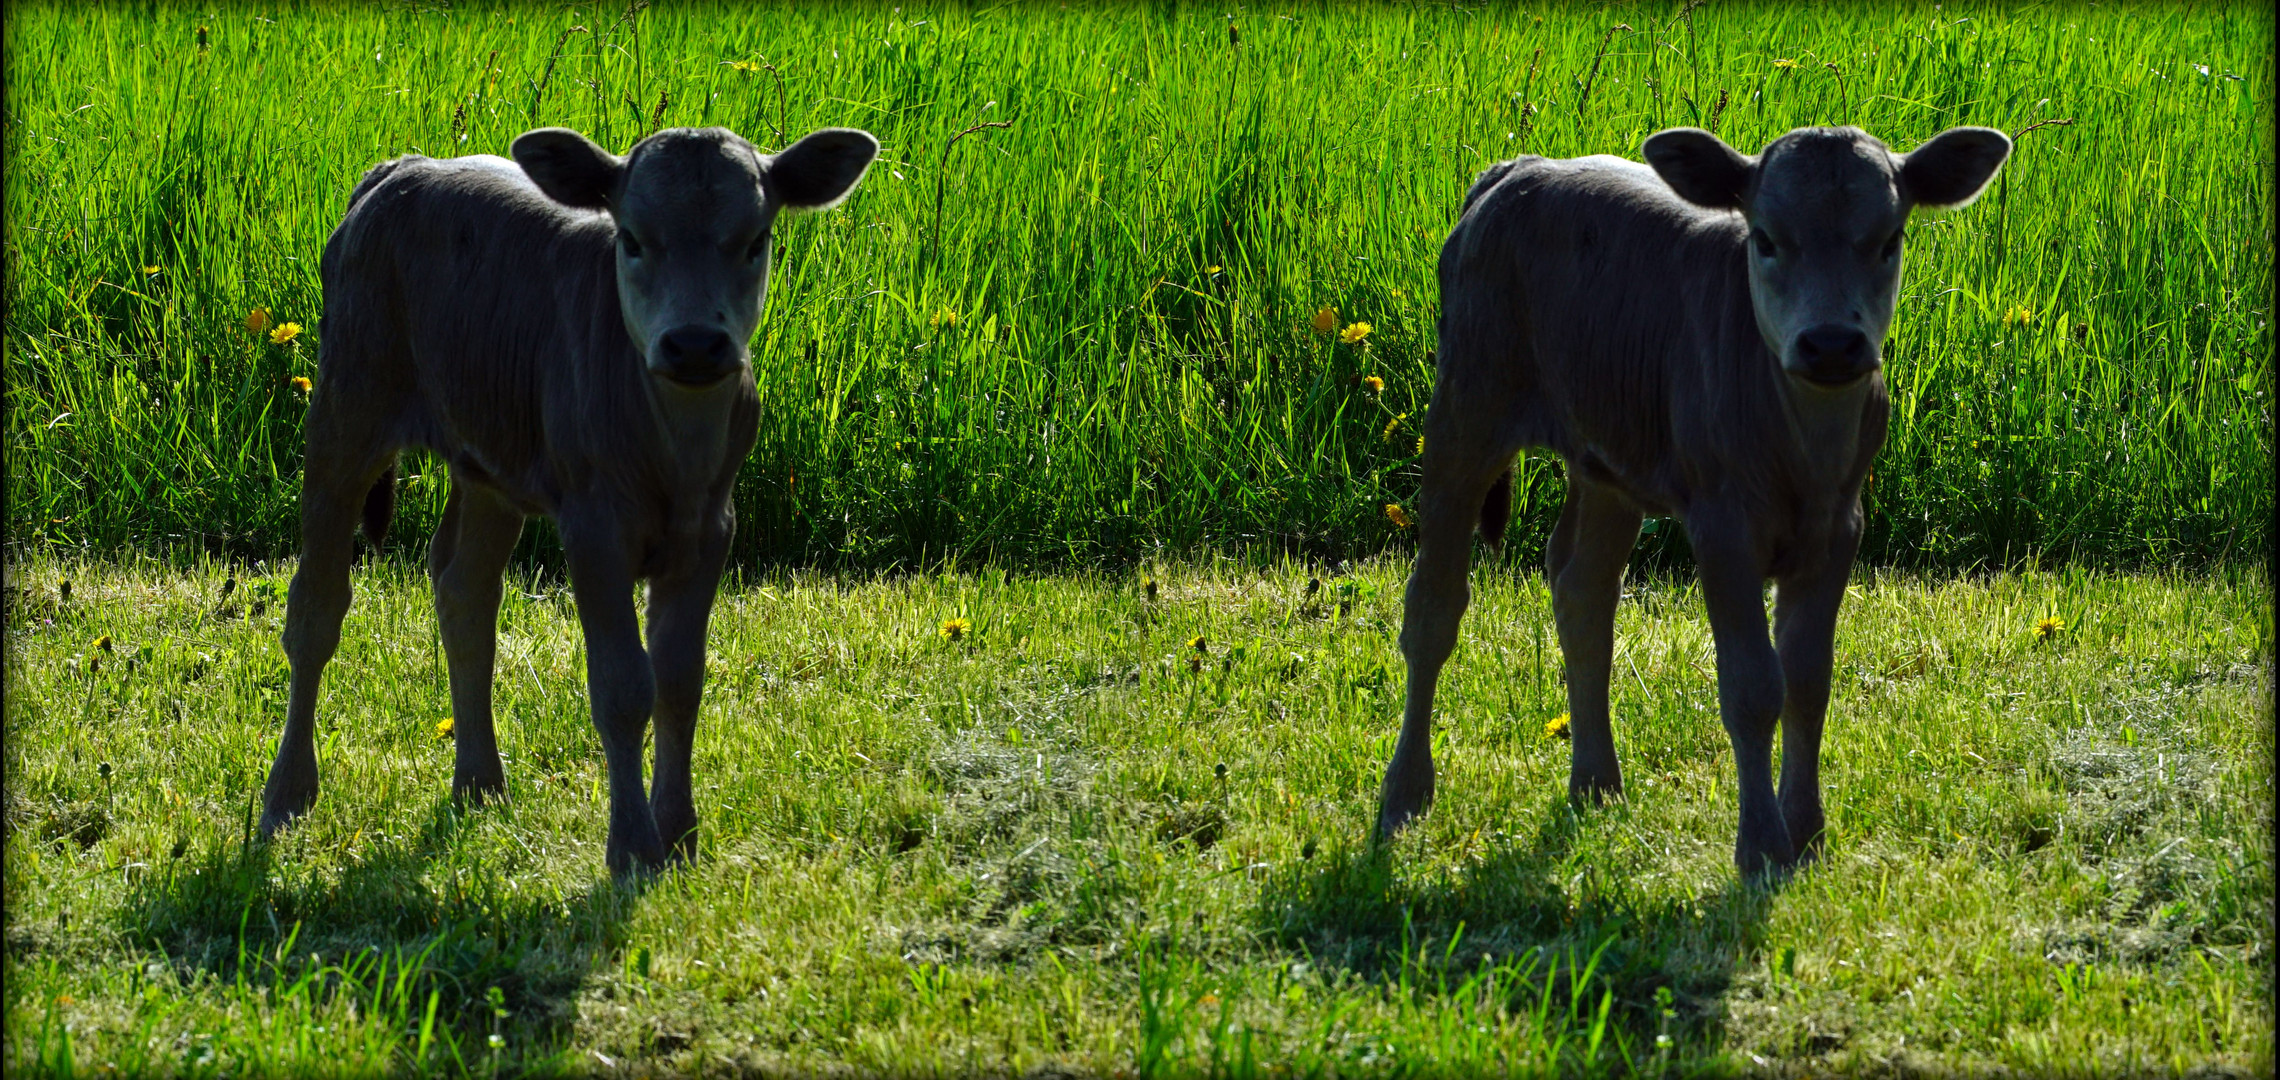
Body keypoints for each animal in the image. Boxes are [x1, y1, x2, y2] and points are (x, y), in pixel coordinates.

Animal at [261, 124, 880, 879]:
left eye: (755, 239)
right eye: (633, 238)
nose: (695, 342)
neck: (672, 442)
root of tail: (402, 168)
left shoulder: (710, 530)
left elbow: (680, 680)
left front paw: (680, 836)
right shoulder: (594, 529)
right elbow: (623, 686)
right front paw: (634, 847)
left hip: (488, 465)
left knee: (466, 594)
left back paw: (479, 783)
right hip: (347, 411)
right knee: (316, 609)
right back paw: (288, 795)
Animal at [1358, 122, 2006, 874]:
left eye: (1888, 238)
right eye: (1765, 238)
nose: (1831, 343)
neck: (1802, 440)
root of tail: (1518, 168)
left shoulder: (1839, 528)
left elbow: (1809, 681)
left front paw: (1808, 835)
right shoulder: (1722, 525)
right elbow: (1753, 686)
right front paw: (1762, 848)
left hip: (1607, 459)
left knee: (1583, 590)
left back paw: (1596, 782)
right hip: (1467, 409)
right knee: (1433, 609)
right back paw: (1405, 794)